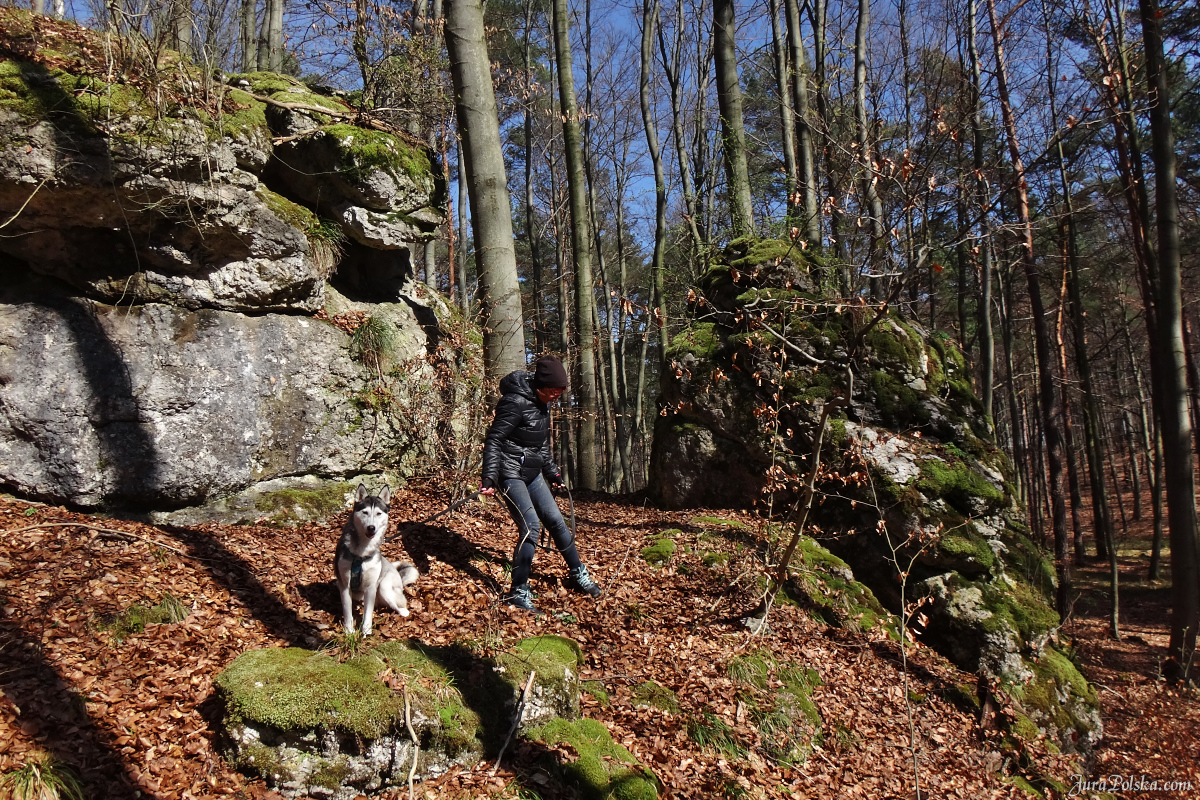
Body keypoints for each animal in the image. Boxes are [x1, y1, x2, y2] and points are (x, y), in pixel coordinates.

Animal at [336, 484, 420, 633]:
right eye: (365, 512)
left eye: (378, 513)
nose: (371, 527)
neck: (361, 554)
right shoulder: (344, 585)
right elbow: (347, 611)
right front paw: (349, 631)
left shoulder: (371, 587)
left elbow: (368, 613)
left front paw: (366, 631)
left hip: (384, 587)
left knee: (402, 609)